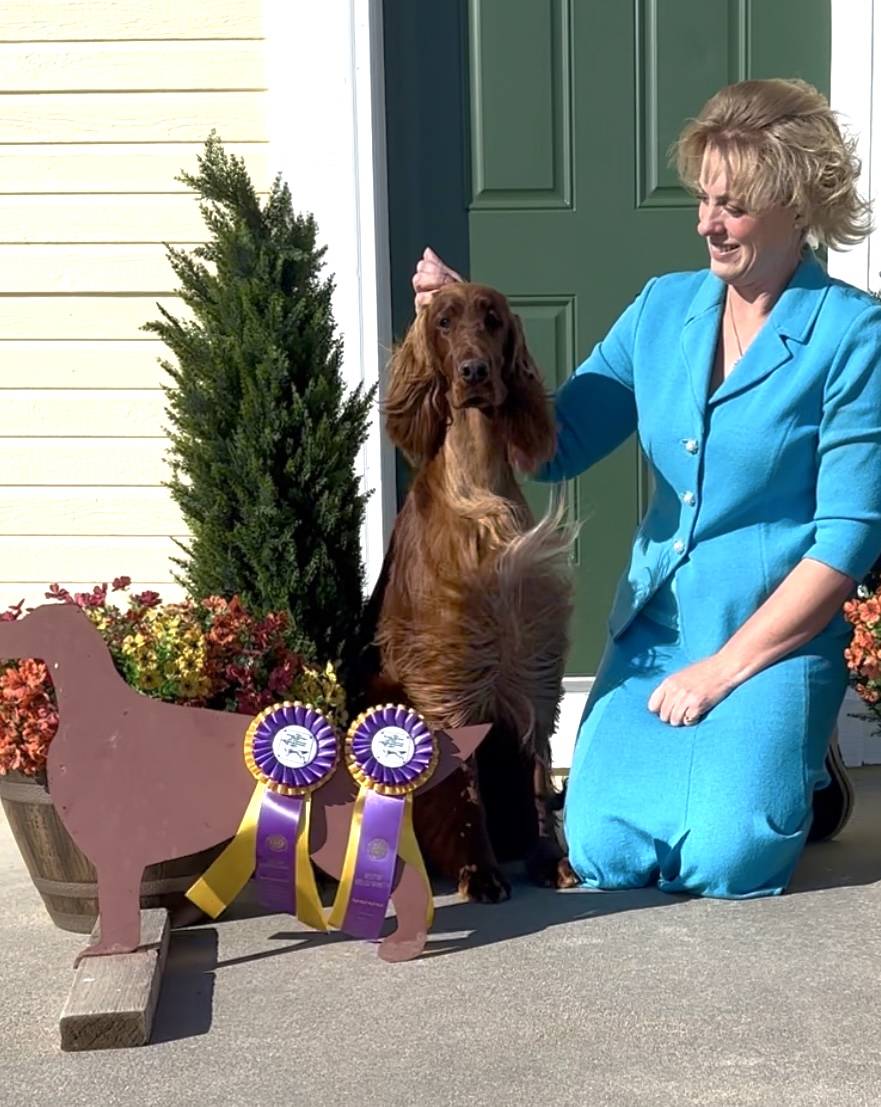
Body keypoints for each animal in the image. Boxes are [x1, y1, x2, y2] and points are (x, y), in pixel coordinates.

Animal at [343, 281, 578, 902]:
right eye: (444, 322)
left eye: (492, 319)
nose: (474, 371)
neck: (479, 492)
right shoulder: (446, 676)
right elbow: (462, 788)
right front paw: (481, 871)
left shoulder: (528, 668)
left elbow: (540, 771)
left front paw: (551, 861)